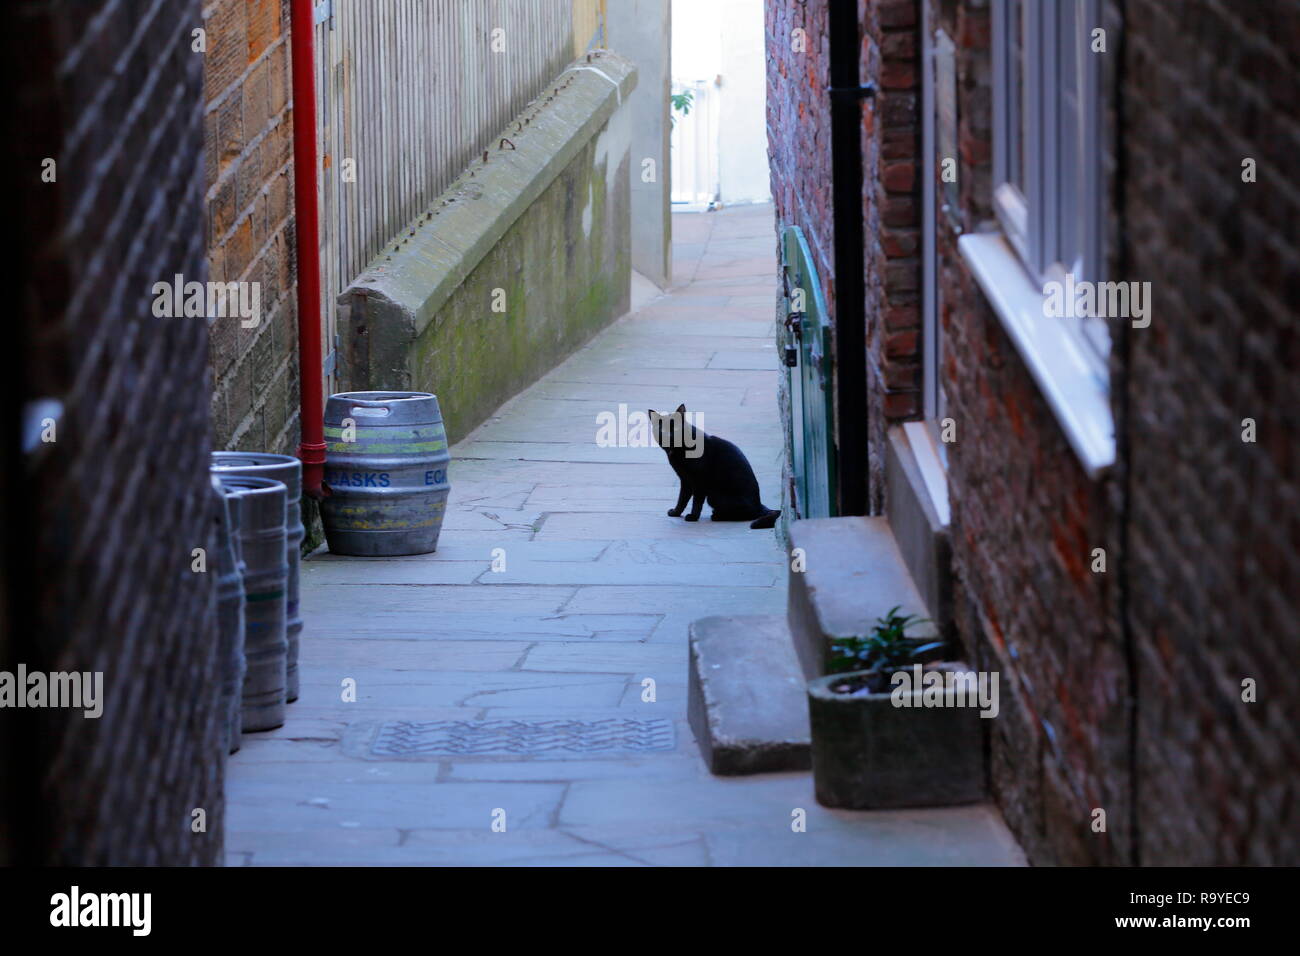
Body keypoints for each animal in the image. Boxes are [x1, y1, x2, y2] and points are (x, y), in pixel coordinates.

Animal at [650, 403, 780, 530]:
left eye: (676, 428)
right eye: (662, 430)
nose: (669, 436)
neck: (678, 450)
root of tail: (759, 504)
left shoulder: (699, 481)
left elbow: (696, 501)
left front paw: (693, 517)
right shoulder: (685, 479)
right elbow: (682, 499)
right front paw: (676, 512)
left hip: (714, 496)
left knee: (746, 515)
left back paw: (716, 516)